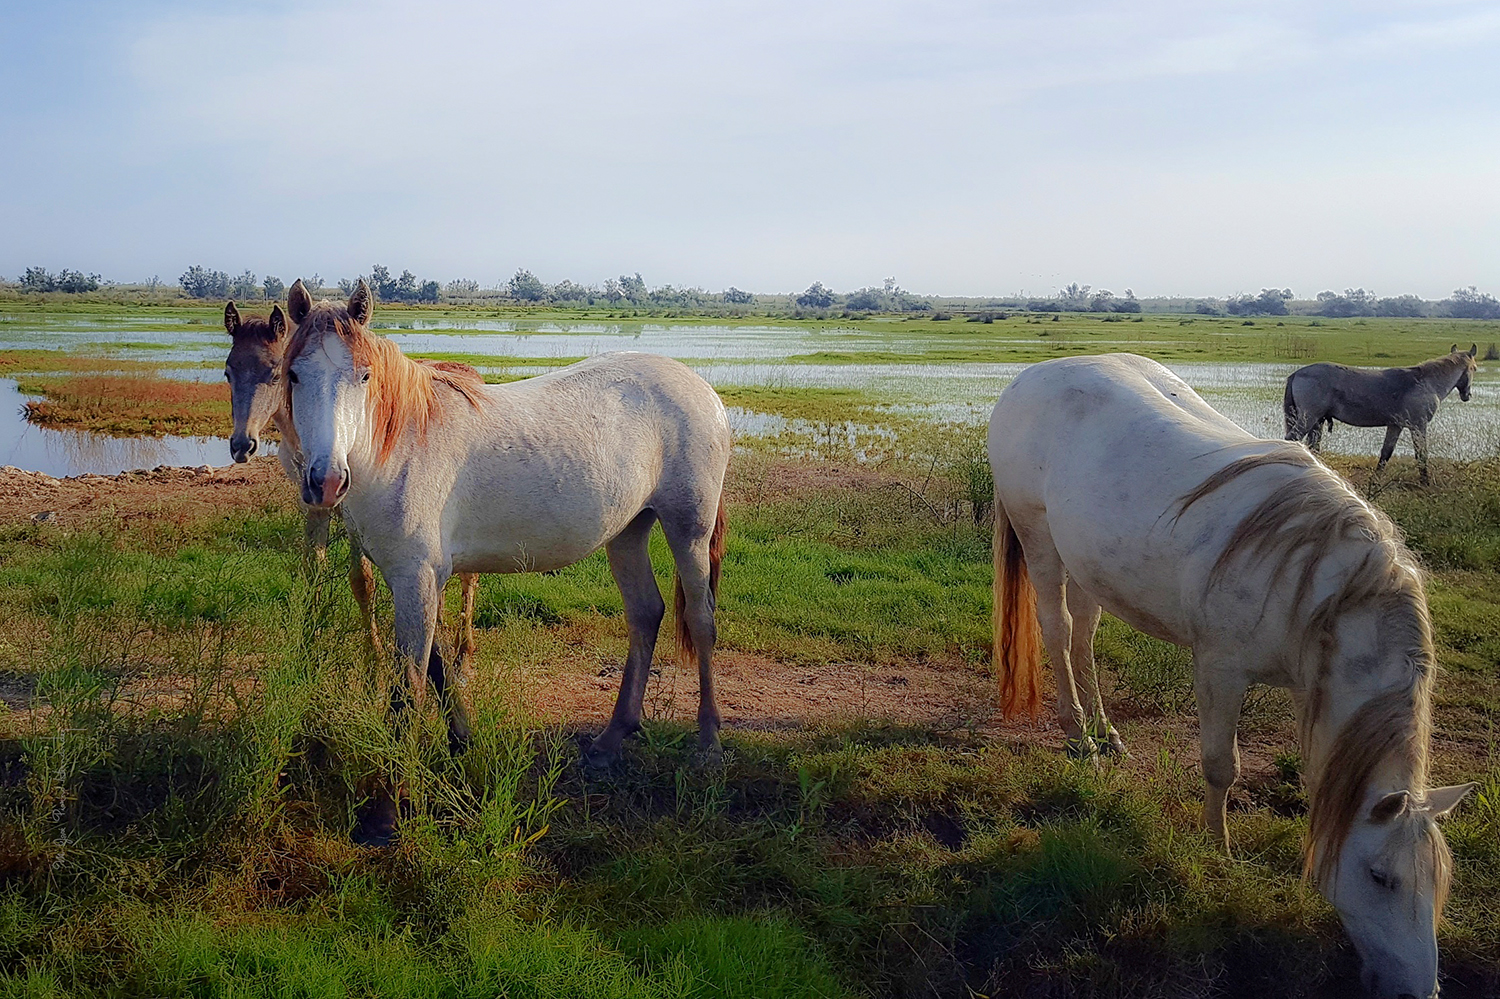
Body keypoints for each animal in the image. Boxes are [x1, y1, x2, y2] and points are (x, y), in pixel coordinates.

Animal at [282, 277, 732, 834]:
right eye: (294, 374)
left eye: (364, 376)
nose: (325, 481)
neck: (399, 445)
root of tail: (702, 389)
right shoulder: (411, 577)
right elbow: (438, 669)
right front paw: (460, 745)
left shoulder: (416, 577)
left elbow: (408, 688)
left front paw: (387, 808)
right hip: (629, 530)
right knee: (646, 614)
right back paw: (610, 740)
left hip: (689, 528)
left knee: (701, 621)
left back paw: (708, 745)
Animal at [990, 352, 1470, 996]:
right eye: (1380, 878)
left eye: (1439, 884)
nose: (1421, 991)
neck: (1316, 583)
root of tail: (1033, 375)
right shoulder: (1220, 669)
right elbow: (1222, 766)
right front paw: (1217, 851)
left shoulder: (1309, 688)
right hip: (1039, 535)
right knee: (1060, 629)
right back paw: (1077, 737)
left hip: (1086, 556)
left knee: (1086, 632)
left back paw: (1106, 733)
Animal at [1284, 342, 1482, 483]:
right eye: (1474, 368)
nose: (1467, 395)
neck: (1425, 382)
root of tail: (1297, 373)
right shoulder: (1418, 425)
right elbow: (1421, 454)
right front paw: (1425, 482)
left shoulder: (1395, 426)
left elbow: (1386, 453)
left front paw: (1376, 481)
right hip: (1308, 419)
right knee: (1292, 441)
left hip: (1317, 422)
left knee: (1311, 447)